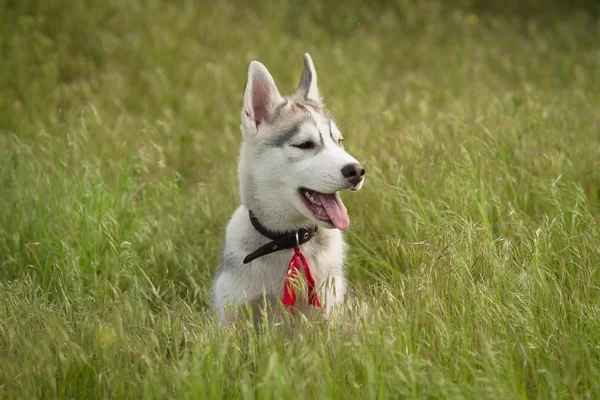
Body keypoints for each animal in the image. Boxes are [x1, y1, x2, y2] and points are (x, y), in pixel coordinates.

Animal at [209, 53, 364, 324]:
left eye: (339, 141)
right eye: (304, 144)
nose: (357, 171)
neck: (291, 241)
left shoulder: (329, 307)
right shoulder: (231, 312)